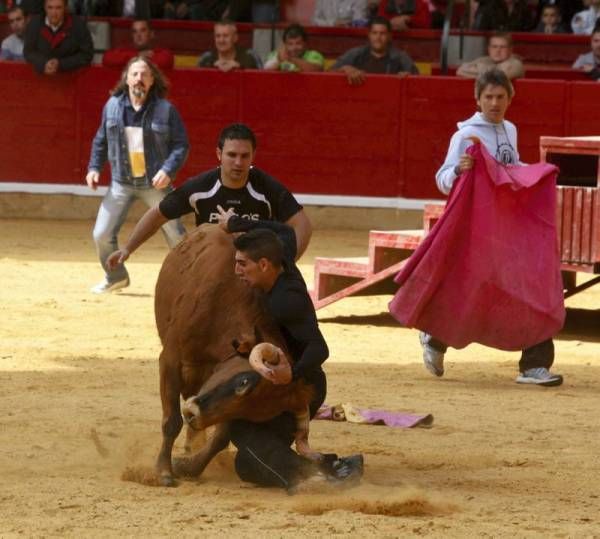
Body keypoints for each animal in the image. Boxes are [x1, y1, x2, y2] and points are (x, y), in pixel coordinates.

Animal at [154, 223, 314, 486]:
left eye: (250, 413)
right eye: (243, 382)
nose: (194, 413)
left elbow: (221, 437)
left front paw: (188, 467)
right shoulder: (170, 360)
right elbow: (171, 421)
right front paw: (164, 472)